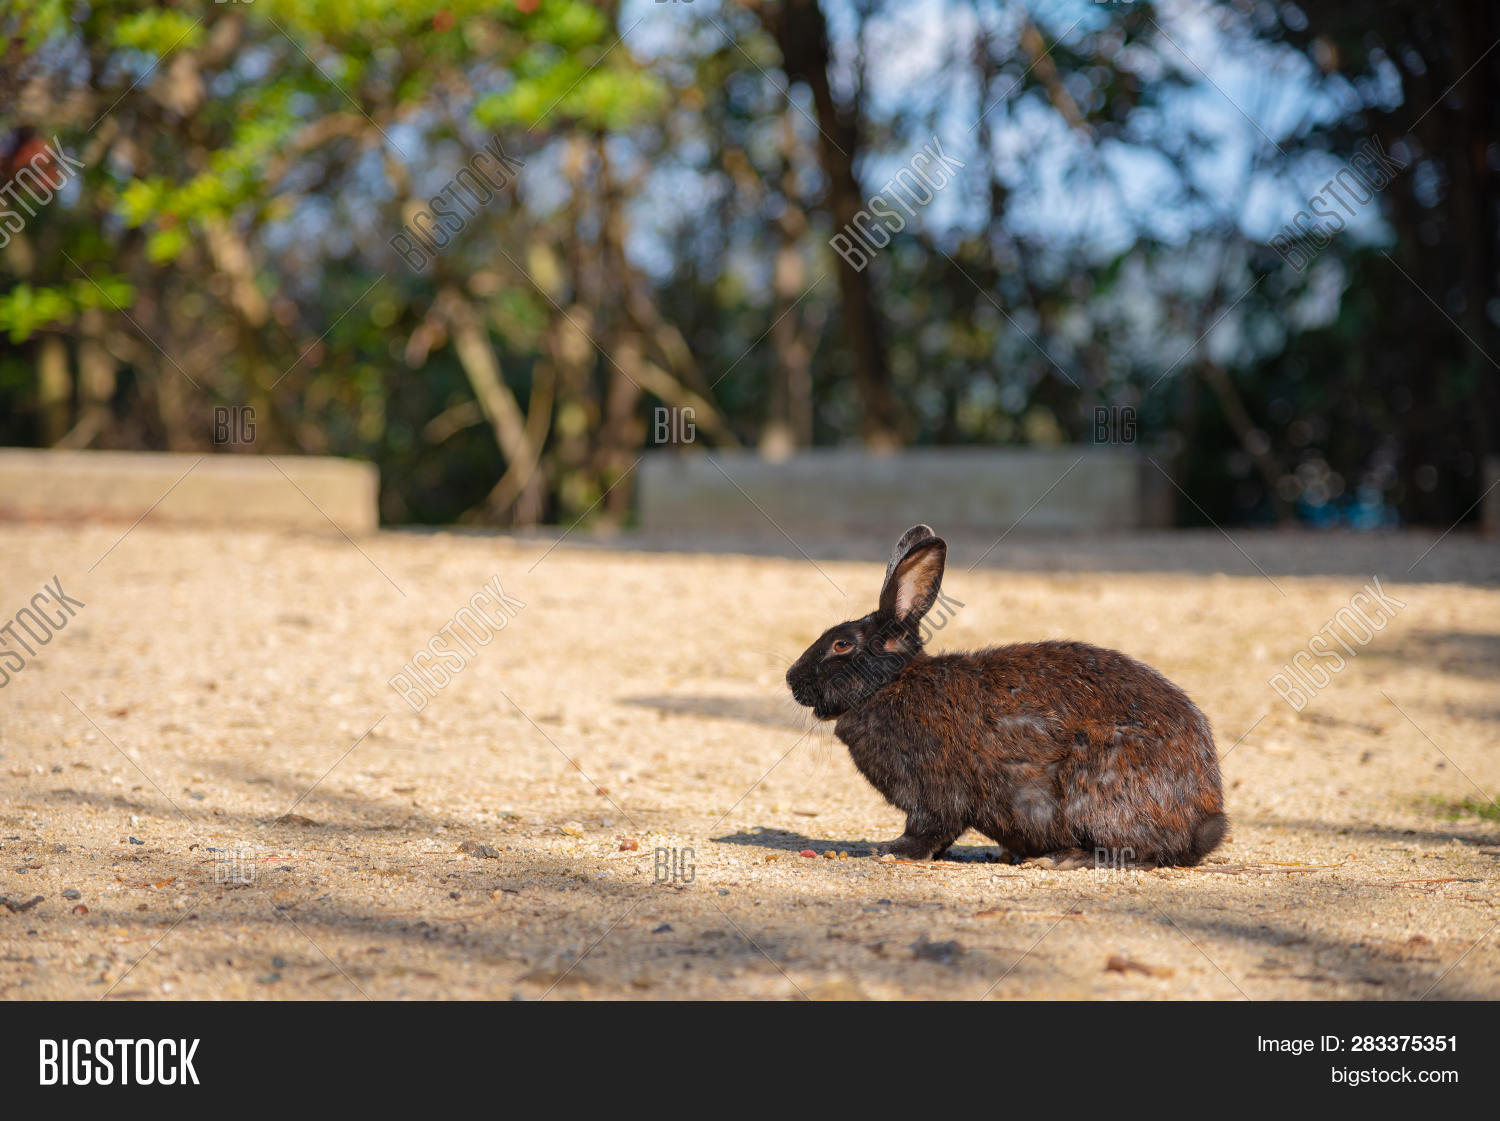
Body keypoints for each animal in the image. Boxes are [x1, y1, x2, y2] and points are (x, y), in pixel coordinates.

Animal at [785, 525, 1227, 867]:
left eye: (842, 644)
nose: (792, 680)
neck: (891, 684)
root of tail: (1203, 821)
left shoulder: (935, 794)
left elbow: (929, 828)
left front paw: (892, 850)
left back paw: (1064, 858)